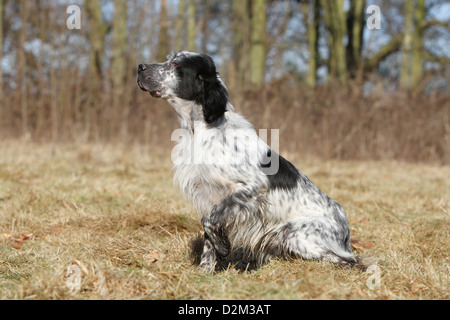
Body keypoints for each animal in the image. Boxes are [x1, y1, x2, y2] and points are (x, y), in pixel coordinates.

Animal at [137, 51, 356, 272]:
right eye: (168, 59)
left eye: (175, 63)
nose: (140, 67)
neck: (204, 128)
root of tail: (345, 229)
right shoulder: (210, 195)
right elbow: (208, 234)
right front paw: (205, 269)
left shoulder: (251, 188)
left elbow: (209, 220)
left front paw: (223, 246)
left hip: (295, 234)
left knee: (348, 261)